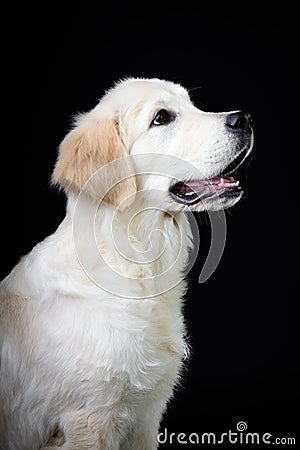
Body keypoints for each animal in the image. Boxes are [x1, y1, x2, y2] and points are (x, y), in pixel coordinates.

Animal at [0, 79, 253, 448]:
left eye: (192, 104)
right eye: (162, 117)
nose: (244, 119)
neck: (136, 267)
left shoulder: (145, 419)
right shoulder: (89, 420)